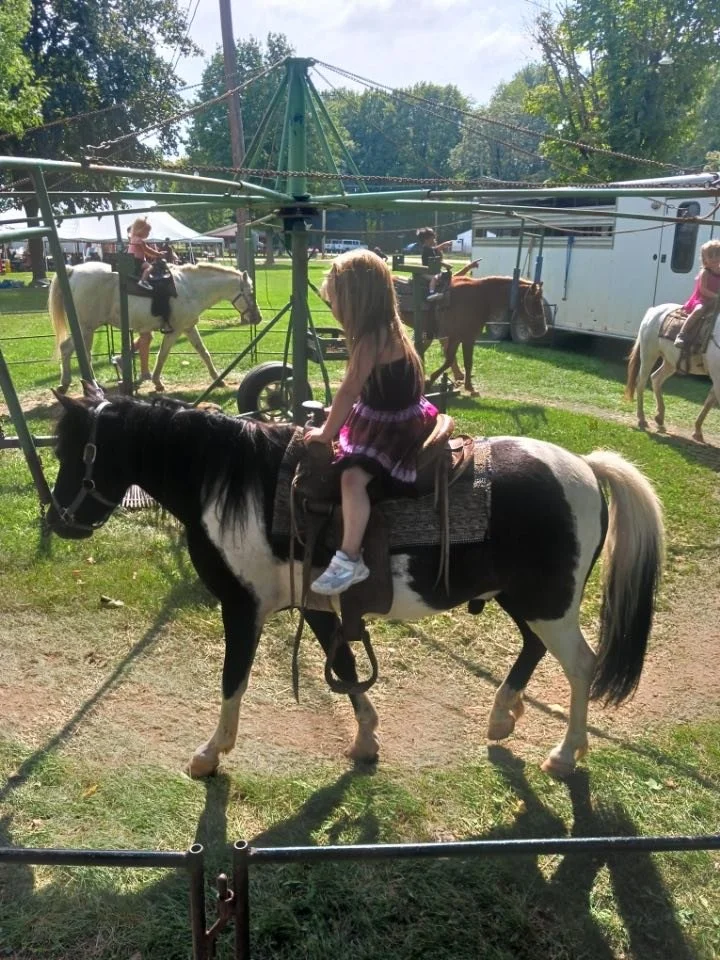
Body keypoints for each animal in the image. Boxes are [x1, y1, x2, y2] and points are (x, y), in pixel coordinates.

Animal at [47, 387, 663, 780]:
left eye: (74, 452)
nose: (58, 520)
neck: (232, 487)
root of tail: (585, 467)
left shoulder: (242, 610)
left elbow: (232, 682)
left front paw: (210, 754)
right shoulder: (318, 606)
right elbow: (344, 669)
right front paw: (366, 741)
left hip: (547, 604)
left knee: (580, 665)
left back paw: (564, 753)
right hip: (525, 599)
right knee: (534, 647)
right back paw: (502, 717)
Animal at [49, 262, 262, 393]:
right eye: (251, 292)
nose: (257, 318)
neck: (191, 289)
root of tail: (73, 271)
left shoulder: (188, 328)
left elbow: (204, 352)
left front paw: (218, 379)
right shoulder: (175, 330)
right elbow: (162, 354)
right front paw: (158, 382)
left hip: (85, 329)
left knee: (67, 349)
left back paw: (66, 384)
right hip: (86, 328)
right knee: (80, 353)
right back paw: (88, 384)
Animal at [398, 276, 548, 395]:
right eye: (535, 301)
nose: (543, 329)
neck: (480, 298)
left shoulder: (462, 338)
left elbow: (463, 362)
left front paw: (469, 387)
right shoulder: (462, 338)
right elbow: (452, 360)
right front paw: (430, 381)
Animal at [625, 303, 720, 443]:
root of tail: (654, 310)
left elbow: (710, 400)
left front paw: (697, 431)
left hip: (670, 362)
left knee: (656, 378)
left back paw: (660, 419)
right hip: (649, 354)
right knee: (641, 382)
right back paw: (642, 419)